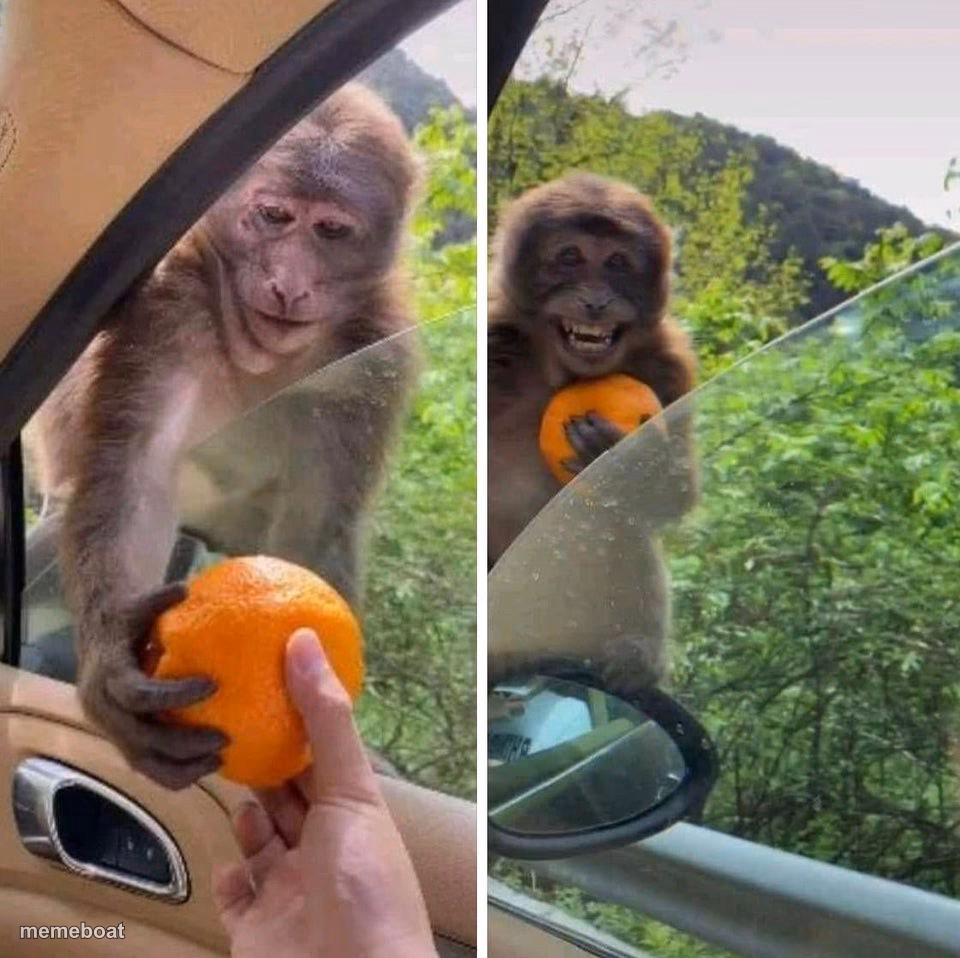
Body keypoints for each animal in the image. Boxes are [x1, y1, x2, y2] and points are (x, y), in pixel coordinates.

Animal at [24, 84, 420, 790]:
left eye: (331, 230)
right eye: (274, 215)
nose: (289, 282)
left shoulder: (373, 364)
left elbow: (316, 527)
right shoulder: (170, 311)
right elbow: (138, 475)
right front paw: (112, 664)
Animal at [487, 172, 698, 695]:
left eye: (618, 262)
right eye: (570, 256)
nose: (597, 301)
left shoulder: (669, 364)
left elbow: (675, 495)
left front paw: (622, 456)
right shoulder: (496, 335)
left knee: (623, 523)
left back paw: (633, 656)